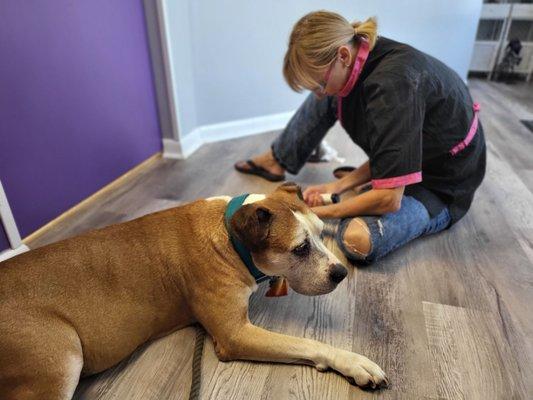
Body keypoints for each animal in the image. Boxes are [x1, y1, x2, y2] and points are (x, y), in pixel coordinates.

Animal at [0, 183, 382, 398]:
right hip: (62, 361)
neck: (230, 237)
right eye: (300, 249)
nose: (340, 273)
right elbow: (307, 343)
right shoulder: (235, 334)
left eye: (319, 233)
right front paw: (353, 362)